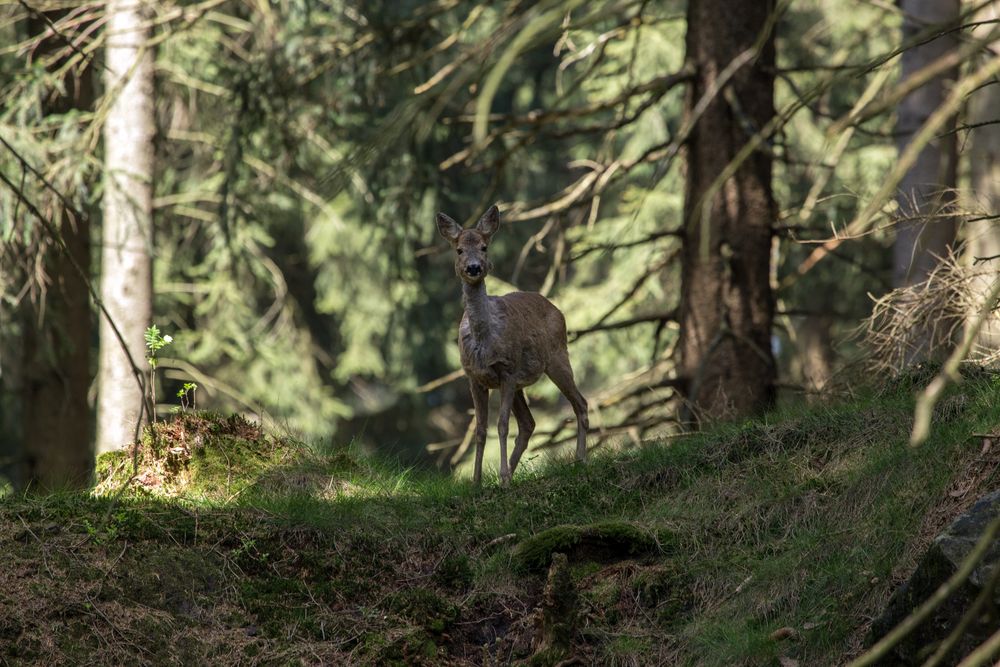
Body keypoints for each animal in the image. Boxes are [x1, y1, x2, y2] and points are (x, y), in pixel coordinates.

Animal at [436, 202, 588, 486]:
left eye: (484, 246)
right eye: (459, 249)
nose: (474, 267)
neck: (485, 341)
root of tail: (555, 308)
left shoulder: (507, 369)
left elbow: (502, 425)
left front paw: (502, 476)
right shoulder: (474, 377)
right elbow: (481, 430)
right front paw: (477, 481)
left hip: (557, 357)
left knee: (580, 402)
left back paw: (580, 460)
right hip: (521, 382)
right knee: (529, 423)